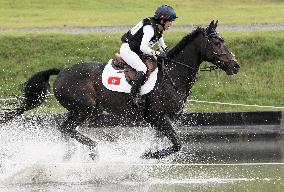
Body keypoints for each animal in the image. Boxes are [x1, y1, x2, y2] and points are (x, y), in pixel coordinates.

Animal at [0, 20, 240, 159]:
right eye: (217, 43)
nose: (235, 66)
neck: (173, 75)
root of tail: (61, 71)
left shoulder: (161, 121)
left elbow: (168, 141)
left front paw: (149, 153)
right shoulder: (157, 117)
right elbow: (176, 144)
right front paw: (150, 155)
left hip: (82, 110)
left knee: (64, 129)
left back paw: (70, 154)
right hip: (84, 108)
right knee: (66, 128)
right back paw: (93, 149)